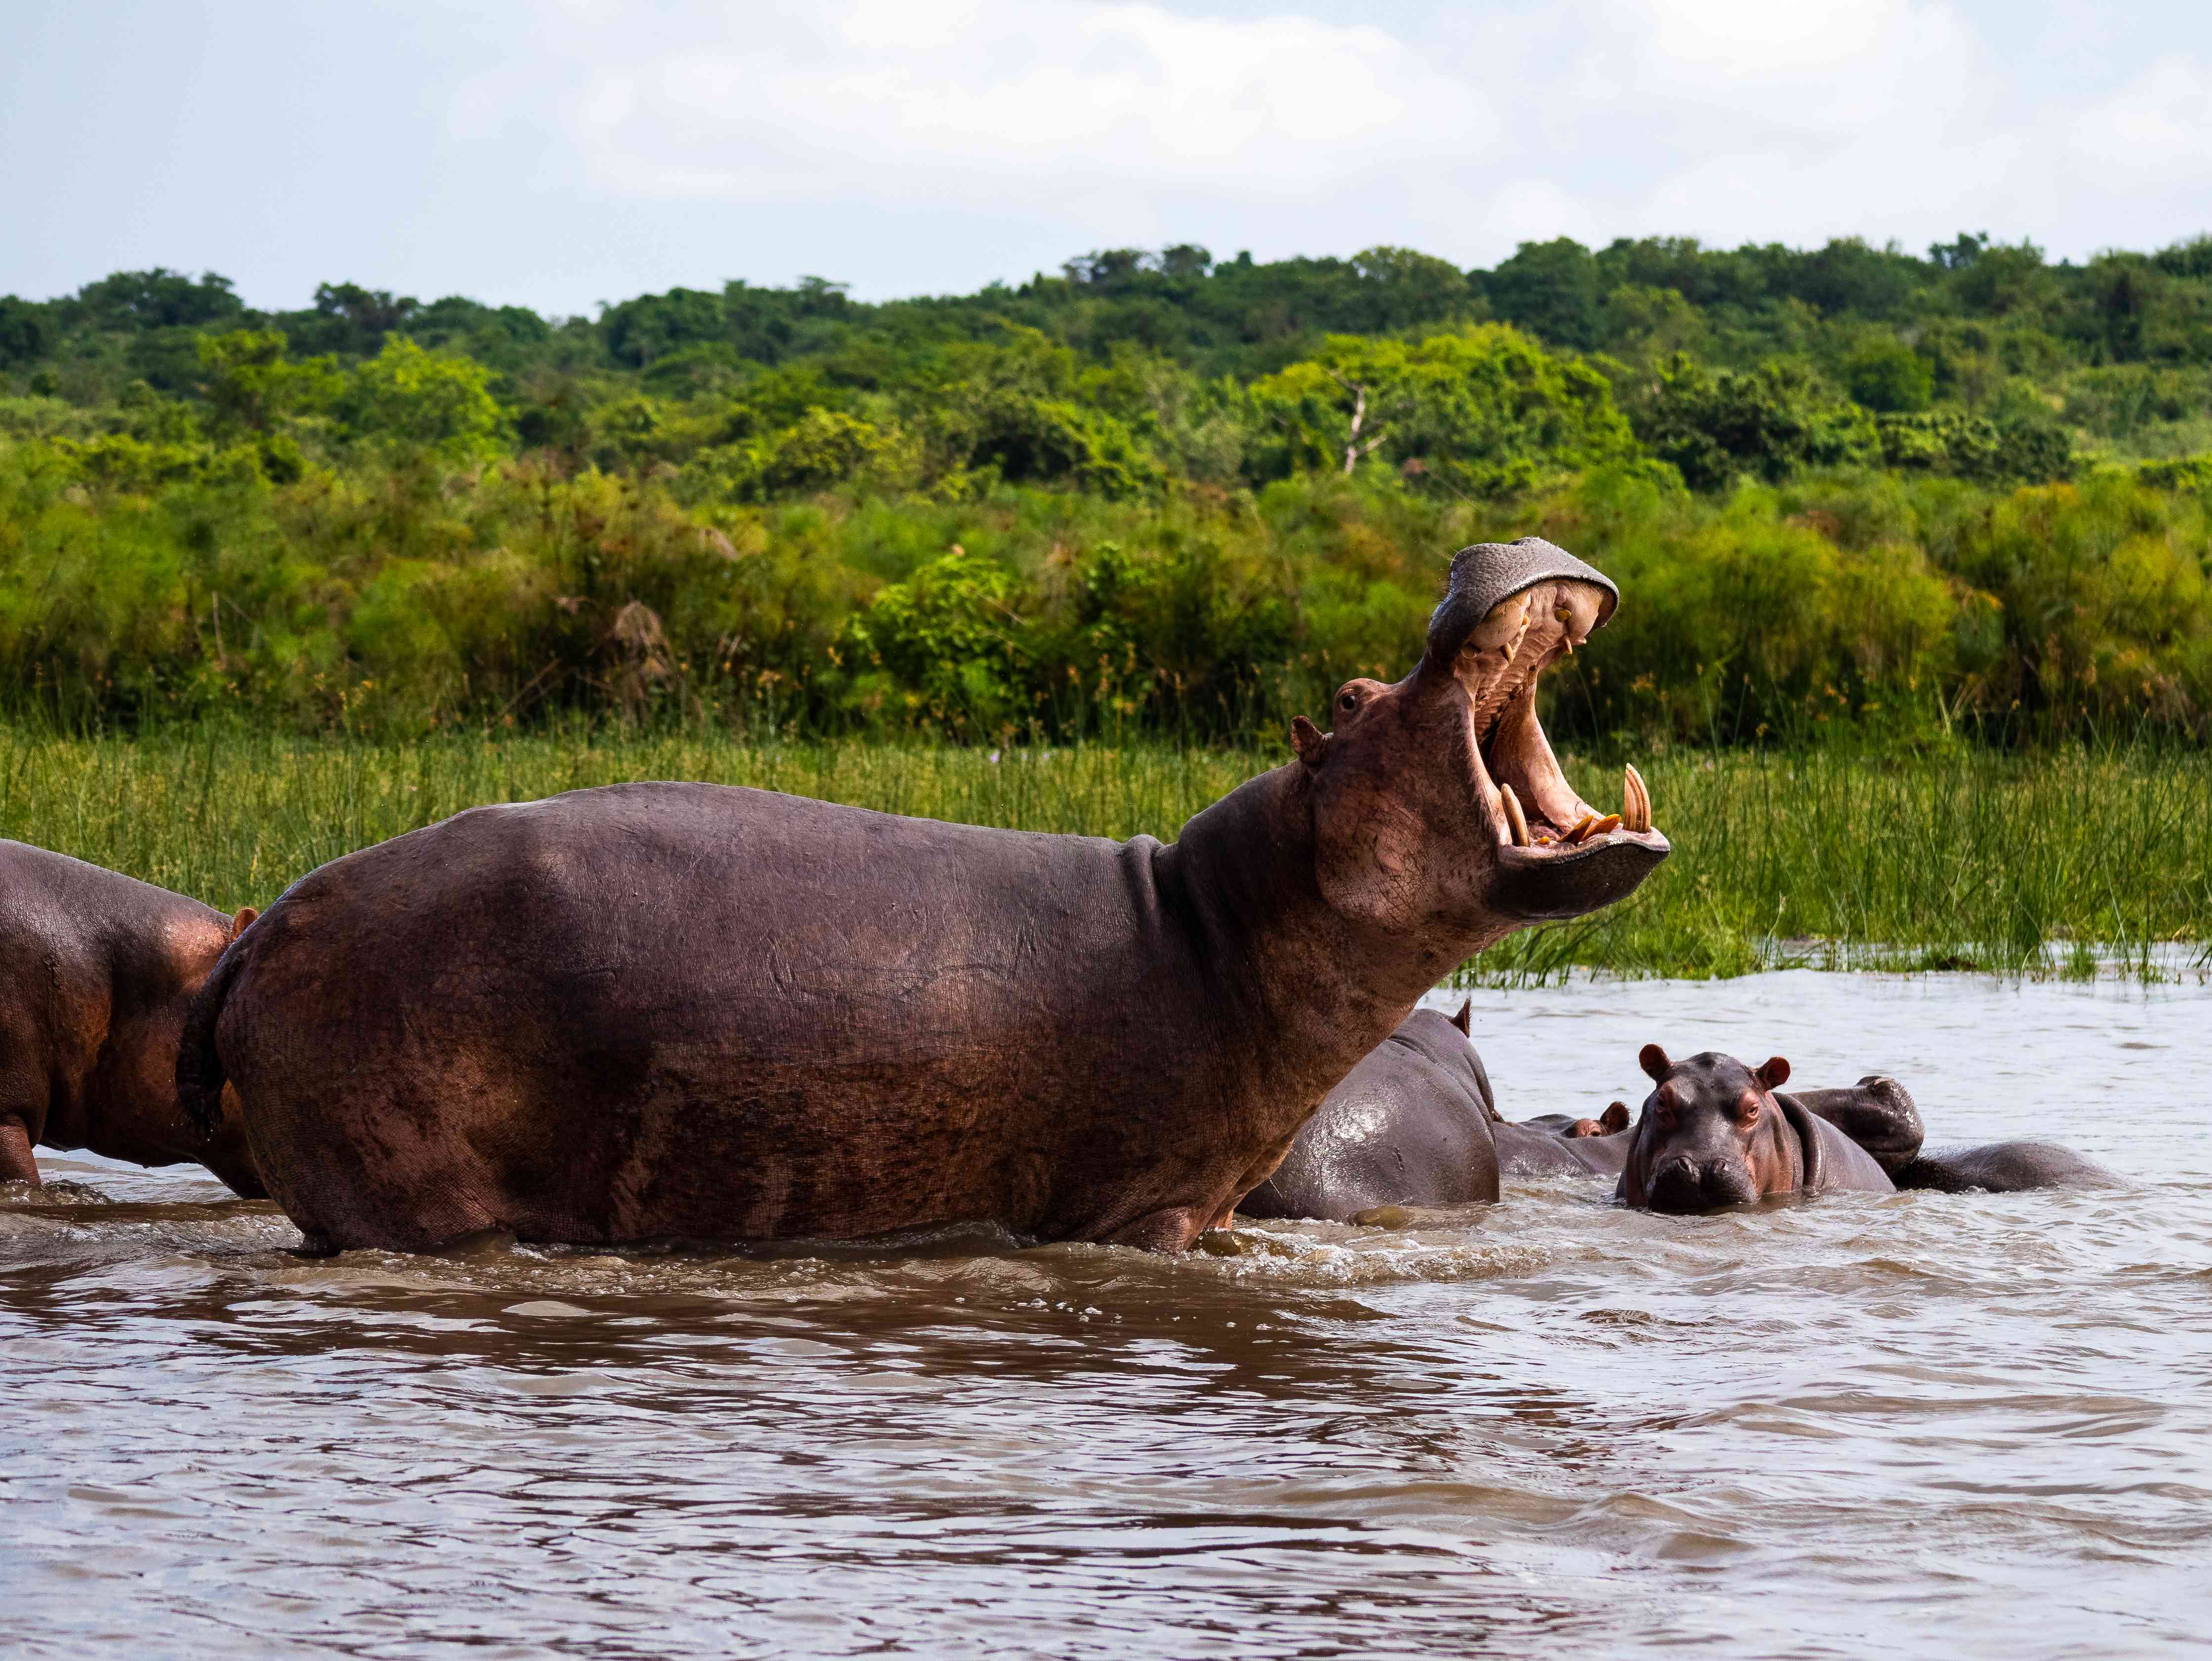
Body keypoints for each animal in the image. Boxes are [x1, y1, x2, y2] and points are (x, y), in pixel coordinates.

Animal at [190, 540, 1663, 1256]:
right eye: (1355, 699)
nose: (1492, 541)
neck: (1220, 919)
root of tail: (260, 928)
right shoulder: (1146, 1211)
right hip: (402, 1184)